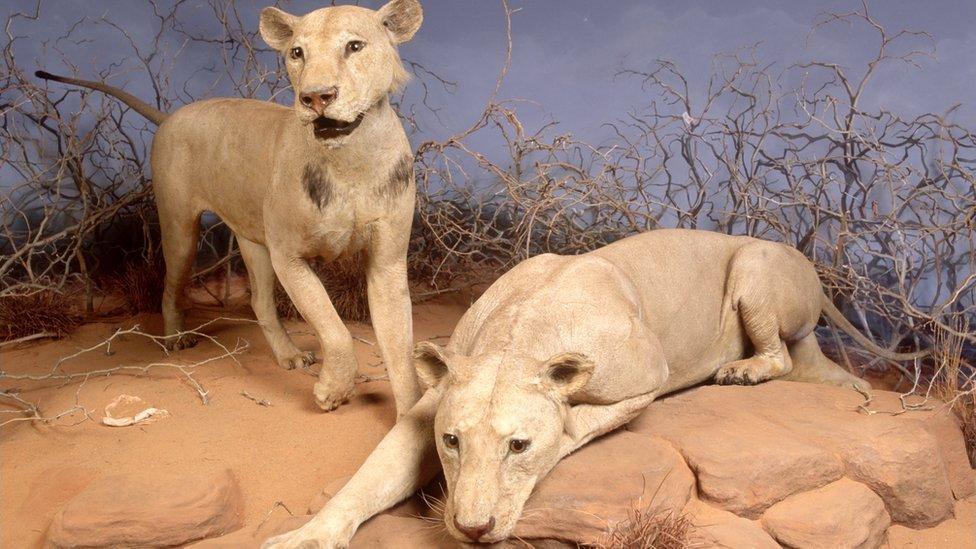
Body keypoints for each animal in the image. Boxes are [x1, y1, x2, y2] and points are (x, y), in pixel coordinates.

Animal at [36, 0, 426, 414]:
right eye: (297, 53)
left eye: (354, 46)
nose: (316, 97)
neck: (351, 161)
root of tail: (171, 116)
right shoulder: (289, 256)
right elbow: (334, 329)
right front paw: (334, 390)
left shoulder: (387, 261)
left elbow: (400, 349)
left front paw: (410, 417)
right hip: (181, 229)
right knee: (170, 287)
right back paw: (174, 340)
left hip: (252, 242)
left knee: (259, 301)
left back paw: (288, 355)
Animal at [264, 228, 928, 548]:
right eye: (452, 442)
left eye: (519, 447)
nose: (473, 529)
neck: (517, 338)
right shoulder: (430, 408)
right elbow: (367, 479)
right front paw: (308, 536)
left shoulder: (646, 377)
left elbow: (576, 424)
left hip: (755, 268)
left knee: (784, 357)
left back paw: (740, 370)